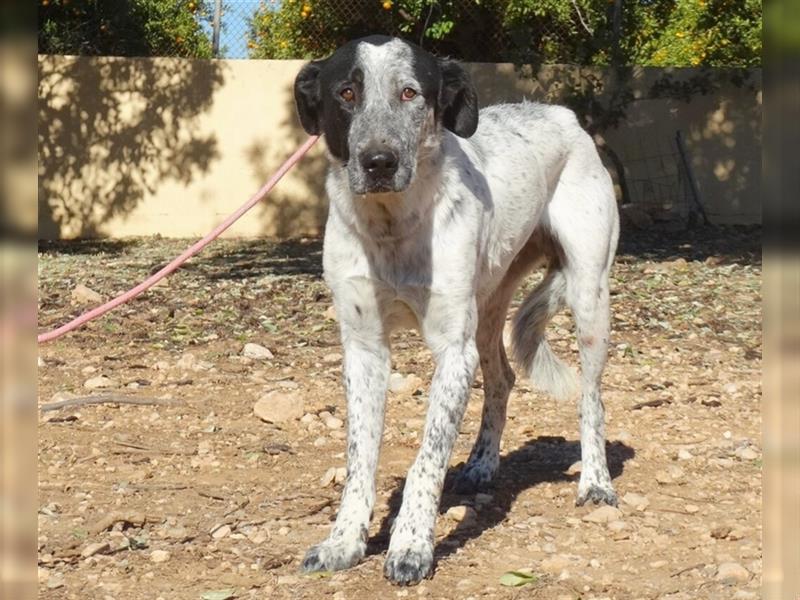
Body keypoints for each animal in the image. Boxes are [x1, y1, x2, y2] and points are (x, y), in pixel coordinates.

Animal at [292, 35, 620, 584]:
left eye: (410, 92)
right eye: (346, 93)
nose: (378, 161)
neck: (393, 227)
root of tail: (564, 115)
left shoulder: (452, 351)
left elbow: (427, 458)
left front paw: (411, 545)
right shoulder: (363, 349)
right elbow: (360, 458)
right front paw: (343, 541)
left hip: (587, 295)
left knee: (591, 399)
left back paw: (595, 482)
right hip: (488, 308)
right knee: (502, 379)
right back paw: (483, 464)